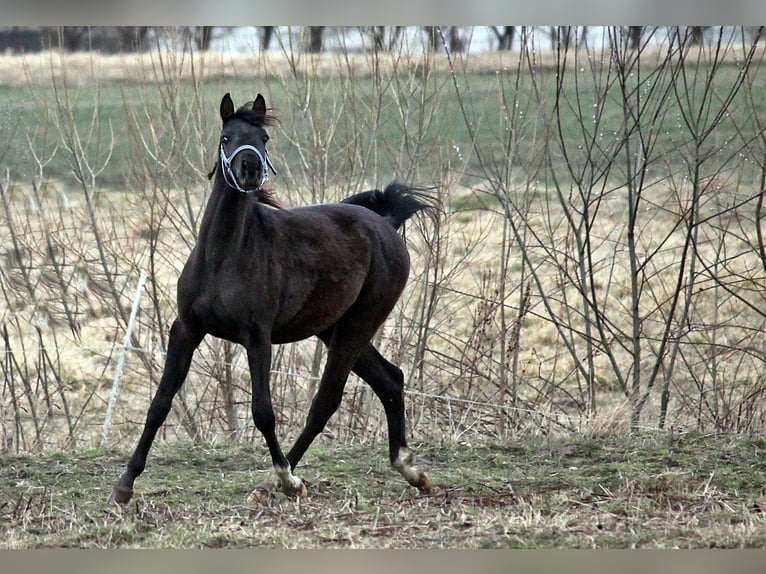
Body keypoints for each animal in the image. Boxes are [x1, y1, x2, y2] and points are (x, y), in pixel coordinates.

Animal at [111, 92, 440, 506]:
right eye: (226, 138)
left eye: (263, 139)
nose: (250, 168)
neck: (224, 255)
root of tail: (384, 224)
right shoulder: (186, 329)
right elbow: (160, 402)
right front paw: (124, 484)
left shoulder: (257, 338)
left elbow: (263, 411)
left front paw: (287, 479)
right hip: (334, 328)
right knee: (390, 380)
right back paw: (411, 471)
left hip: (358, 325)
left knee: (327, 400)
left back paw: (281, 481)